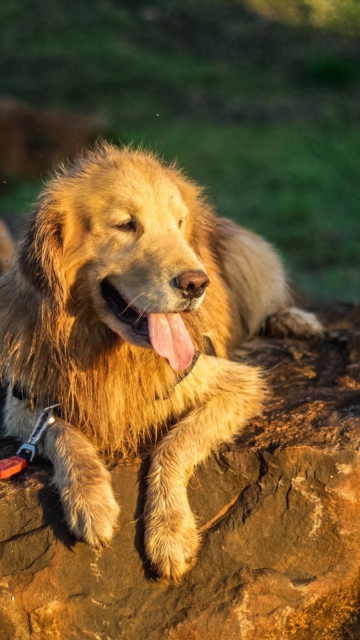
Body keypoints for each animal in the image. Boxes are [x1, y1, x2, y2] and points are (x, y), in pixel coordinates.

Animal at [0, 144, 324, 580]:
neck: (110, 351)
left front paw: (170, 533)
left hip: (251, 259)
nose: (196, 283)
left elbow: (175, 444)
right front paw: (92, 503)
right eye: (125, 225)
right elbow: (64, 434)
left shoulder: (234, 383)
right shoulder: (25, 400)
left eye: (179, 223)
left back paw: (295, 320)